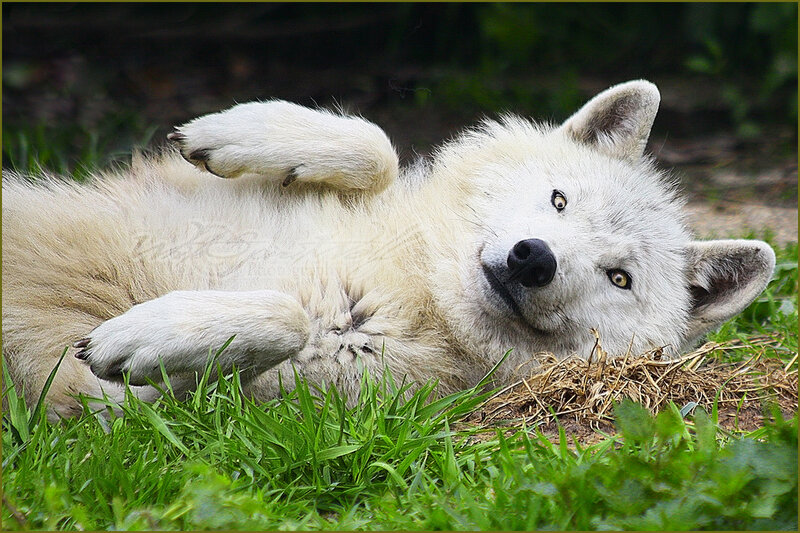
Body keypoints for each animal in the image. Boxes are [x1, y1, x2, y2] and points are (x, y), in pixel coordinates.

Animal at [2, 80, 776, 419]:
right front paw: (237, 130)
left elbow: (284, 317)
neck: (418, 284)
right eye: (560, 202)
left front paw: (146, 335)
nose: (534, 258)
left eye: (619, 278)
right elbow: (376, 146)